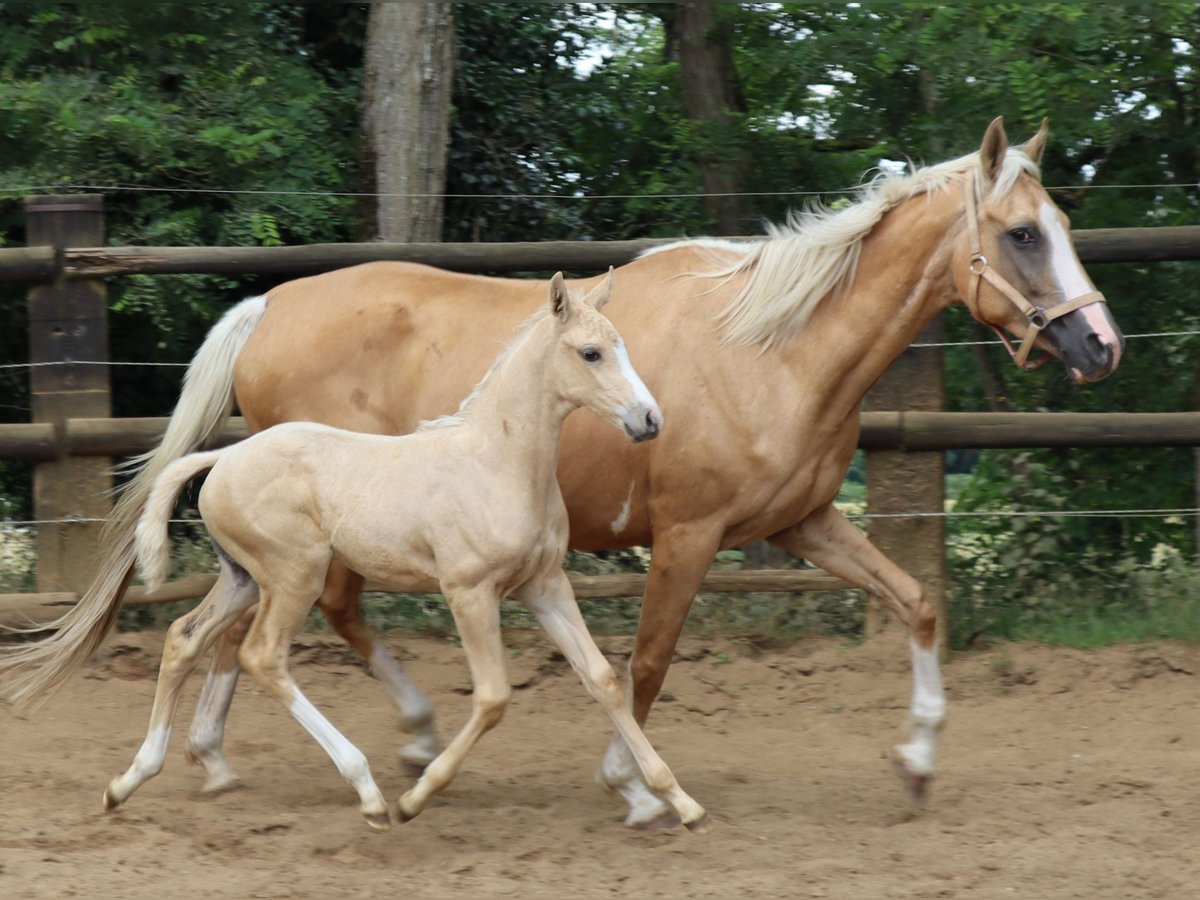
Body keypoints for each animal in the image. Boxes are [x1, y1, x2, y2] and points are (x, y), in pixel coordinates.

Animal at [103, 271, 705, 835]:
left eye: (621, 345)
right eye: (591, 352)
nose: (649, 419)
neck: (497, 462)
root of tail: (224, 458)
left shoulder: (544, 585)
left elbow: (602, 678)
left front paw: (678, 802)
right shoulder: (469, 591)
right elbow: (493, 697)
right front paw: (416, 798)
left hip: (244, 577)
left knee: (183, 637)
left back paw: (128, 781)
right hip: (295, 575)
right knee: (262, 655)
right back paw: (368, 791)